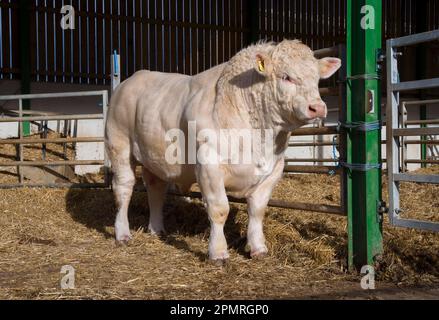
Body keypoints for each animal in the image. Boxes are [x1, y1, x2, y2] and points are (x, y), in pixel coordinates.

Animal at [105, 39, 342, 264]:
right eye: (287, 77)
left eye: (317, 79)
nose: (318, 107)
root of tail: (133, 78)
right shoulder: (209, 165)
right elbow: (219, 209)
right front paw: (218, 252)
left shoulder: (274, 169)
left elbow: (257, 210)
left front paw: (258, 248)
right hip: (119, 145)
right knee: (123, 188)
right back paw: (123, 234)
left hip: (154, 157)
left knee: (155, 189)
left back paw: (156, 229)